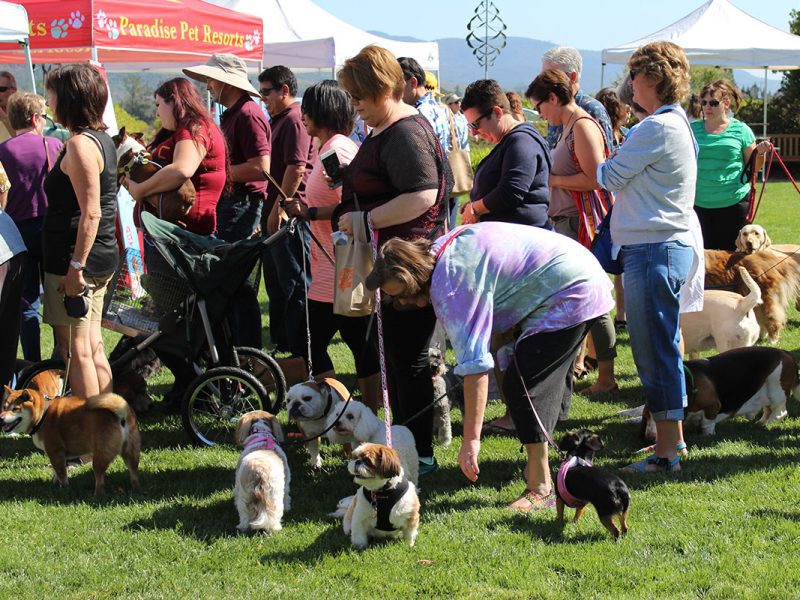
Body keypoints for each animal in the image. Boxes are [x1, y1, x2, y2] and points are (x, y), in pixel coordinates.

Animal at [1, 386, 141, 494]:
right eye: (4, 407)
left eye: (15, 409)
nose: (1, 418)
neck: (42, 415)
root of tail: (122, 415)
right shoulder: (58, 455)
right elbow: (57, 471)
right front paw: (55, 483)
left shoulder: (55, 451)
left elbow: (61, 473)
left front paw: (64, 488)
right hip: (130, 452)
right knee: (134, 473)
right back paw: (135, 489)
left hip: (100, 457)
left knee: (100, 480)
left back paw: (96, 495)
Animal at [234, 408, 290, 536]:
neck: (262, 434)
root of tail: (260, 471)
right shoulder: (286, 485)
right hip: (275, 495)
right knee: (273, 514)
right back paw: (274, 528)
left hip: (244, 496)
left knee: (244, 515)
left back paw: (243, 527)